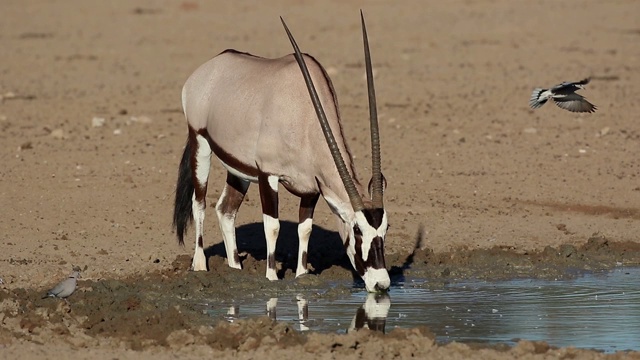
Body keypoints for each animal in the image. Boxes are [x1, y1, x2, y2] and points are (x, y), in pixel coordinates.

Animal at [172, 12, 390, 292]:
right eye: (357, 230)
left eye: (385, 229)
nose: (381, 283)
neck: (304, 113)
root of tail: (208, 68)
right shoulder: (268, 174)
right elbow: (272, 226)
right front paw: (272, 276)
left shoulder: (311, 187)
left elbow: (305, 228)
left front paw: (301, 275)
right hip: (200, 142)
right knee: (199, 203)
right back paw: (200, 265)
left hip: (239, 169)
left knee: (226, 209)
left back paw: (235, 268)